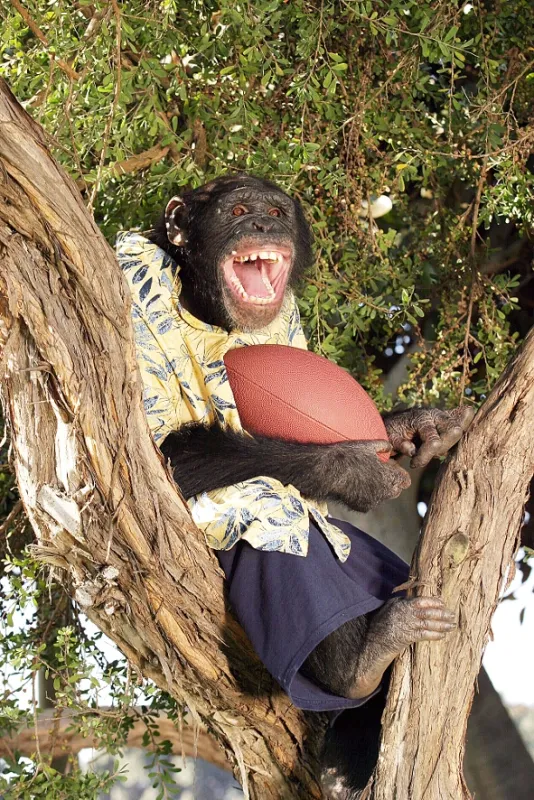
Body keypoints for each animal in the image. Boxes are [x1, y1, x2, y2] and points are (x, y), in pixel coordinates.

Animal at [117, 173, 472, 798]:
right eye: (237, 210)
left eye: (277, 211)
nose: (262, 223)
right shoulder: (135, 287)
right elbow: (162, 445)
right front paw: (356, 468)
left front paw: (414, 427)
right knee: (269, 502)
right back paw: (360, 661)